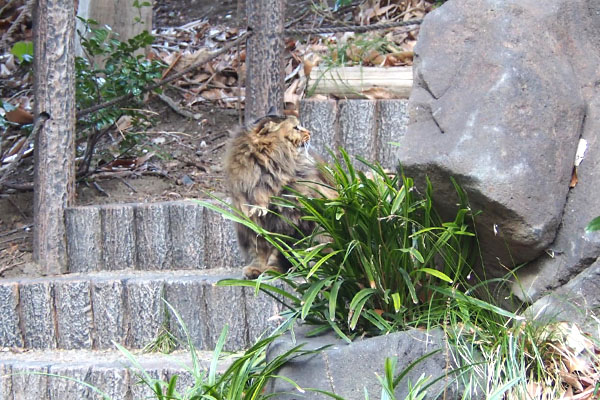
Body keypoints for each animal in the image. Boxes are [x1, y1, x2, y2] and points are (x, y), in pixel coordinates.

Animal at [224, 110, 332, 278]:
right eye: (296, 127)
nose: (309, 132)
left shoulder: (289, 221)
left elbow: (278, 251)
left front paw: (272, 269)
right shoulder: (253, 220)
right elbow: (259, 250)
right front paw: (256, 269)